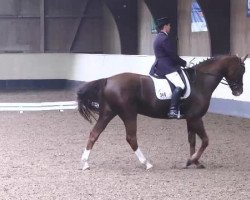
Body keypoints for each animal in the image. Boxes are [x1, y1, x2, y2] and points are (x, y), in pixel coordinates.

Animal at [77, 54, 247, 170]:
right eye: (241, 70)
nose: (238, 92)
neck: (199, 82)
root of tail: (108, 80)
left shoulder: (190, 119)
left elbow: (192, 140)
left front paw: (194, 161)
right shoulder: (196, 118)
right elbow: (205, 140)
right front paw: (191, 160)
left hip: (108, 113)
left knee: (94, 134)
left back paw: (85, 163)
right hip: (129, 114)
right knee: (131, 138)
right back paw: (147, 163)